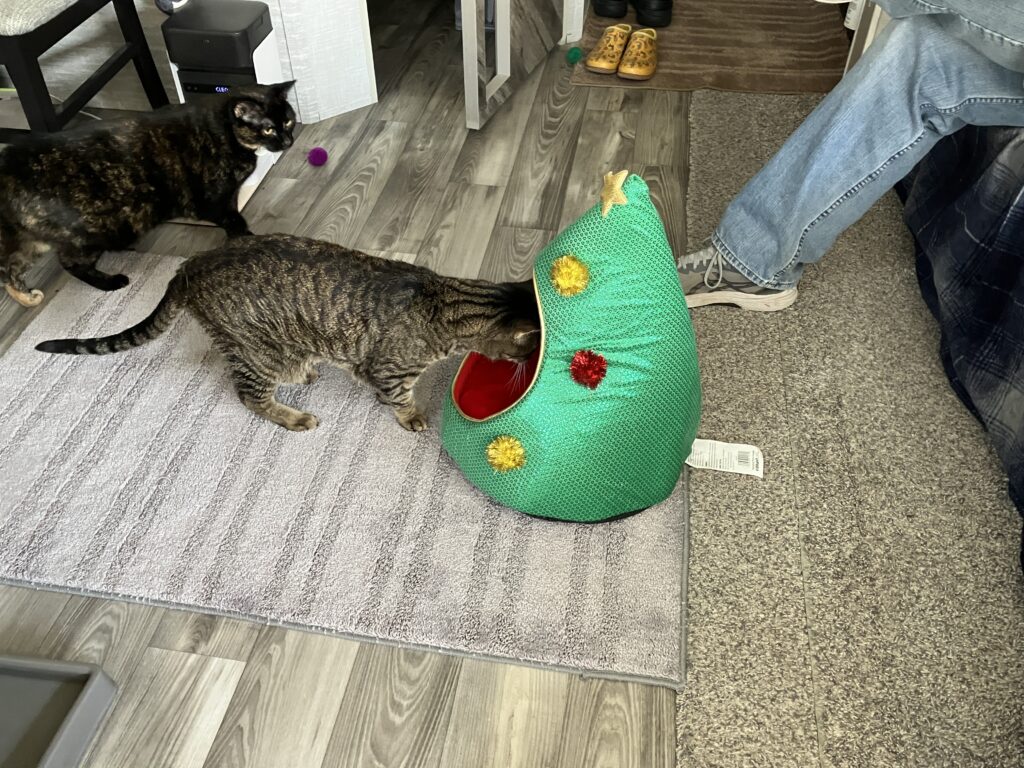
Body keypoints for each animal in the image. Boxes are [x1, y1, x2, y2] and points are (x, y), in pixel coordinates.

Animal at [0, 81, 297, 307]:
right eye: (268, 128)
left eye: (288, 121)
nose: (288, 141)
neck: (224, 132)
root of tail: (7, 163)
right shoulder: (215, 203)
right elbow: (237, 225)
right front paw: (250, 245)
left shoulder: (231, 198)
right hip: (93, 231)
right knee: (69, 263)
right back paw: (111, 282)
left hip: (34, 240)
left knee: (8, 271)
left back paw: (26, 297)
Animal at [36, 234, 541, 432]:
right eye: (528, 352)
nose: (535, 363)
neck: (445, 301)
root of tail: (188, 267)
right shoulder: (391, 369)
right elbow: (399, 397)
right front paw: (411, 415)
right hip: (258, 354)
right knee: (249, 396)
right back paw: (293, 416)